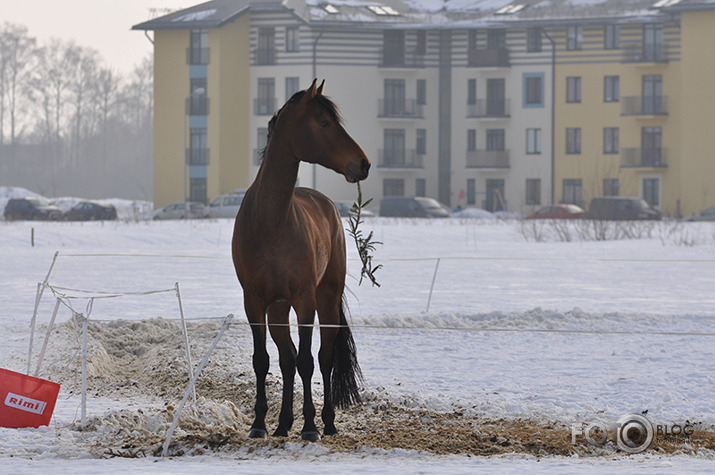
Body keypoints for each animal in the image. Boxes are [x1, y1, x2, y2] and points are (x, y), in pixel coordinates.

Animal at [232, 79, 372, 442]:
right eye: (324, 123)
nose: (364, 164)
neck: (271, 222)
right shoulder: (255, 302)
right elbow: (263, 360)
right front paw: (258, 424)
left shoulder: (305, 300)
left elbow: (309, 361)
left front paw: (309, 426)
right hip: (279, 309)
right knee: (287, 358)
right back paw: (282, 424)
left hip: (326, 299)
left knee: (323, 358)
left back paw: (326, 422)